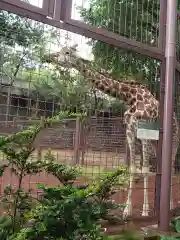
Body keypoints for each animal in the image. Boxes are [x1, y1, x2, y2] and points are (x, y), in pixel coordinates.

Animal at [43, 43, 179, 218]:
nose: (49, 57)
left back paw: (170, 205)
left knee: (171, 167)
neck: (130, 97)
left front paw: (145, 210)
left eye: (66, 52)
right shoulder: (130, 133)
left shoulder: (144, 135)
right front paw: (127, 210)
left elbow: (144, 170)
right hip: (156, 143)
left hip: (174, 139)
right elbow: (133, 169)